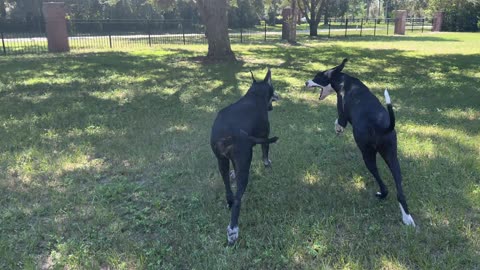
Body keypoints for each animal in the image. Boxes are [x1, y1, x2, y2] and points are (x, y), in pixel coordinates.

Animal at [211, 68, 282, 244]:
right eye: (273, 89)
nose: (278, 96)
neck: (255, 95)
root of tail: (228, 135)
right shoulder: (265, 136)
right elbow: (265, 153)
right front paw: (267, 164)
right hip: (244, 165)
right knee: (238, 200)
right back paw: (233, 230)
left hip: (221, 161)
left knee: (228, 187)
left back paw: (229, 201)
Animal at [308, 59, 416, 228]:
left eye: (317, 77)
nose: (306, 82)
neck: (345, 80)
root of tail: (381, 126)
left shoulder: (342, 113)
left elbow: (339, 121)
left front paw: (338, 129)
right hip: (392, 156)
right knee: (400, 190)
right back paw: (407, 218)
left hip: (367, 155)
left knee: (382, 183)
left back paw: (381, 194)